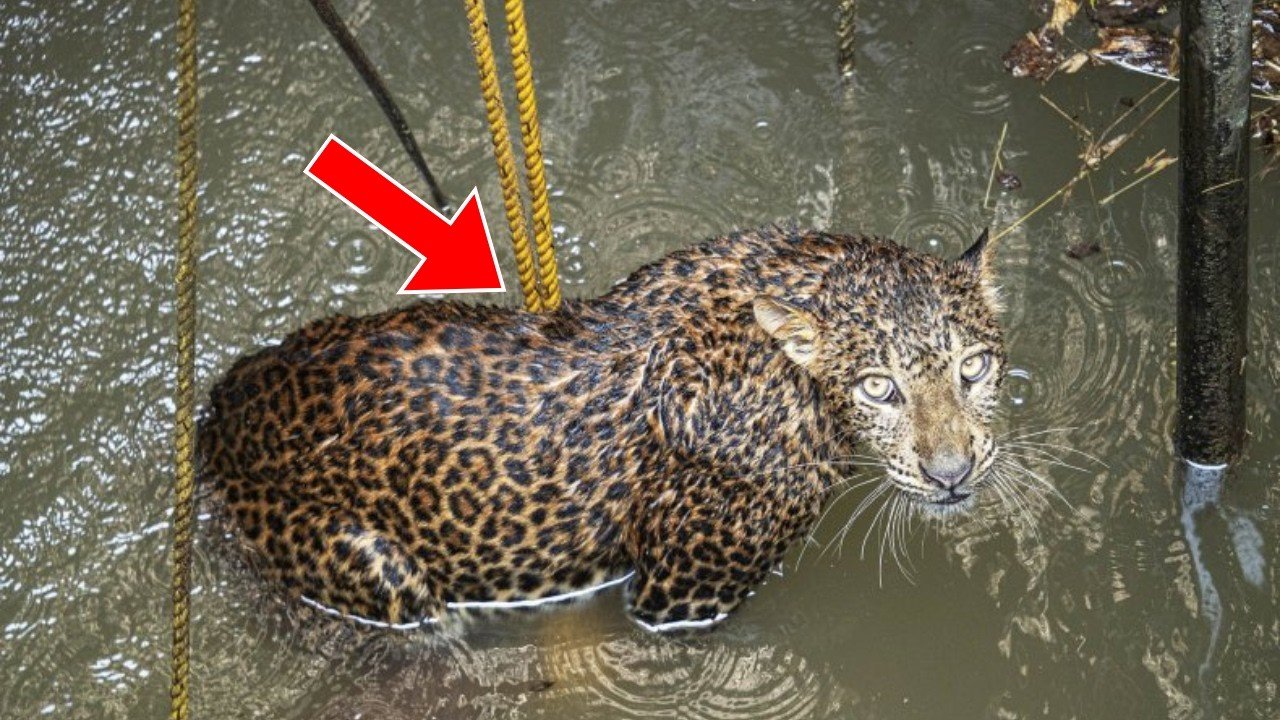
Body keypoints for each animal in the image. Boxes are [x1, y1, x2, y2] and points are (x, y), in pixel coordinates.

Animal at [198, 225, 1006, 632]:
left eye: (975, 367)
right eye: (878, 386)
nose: (953, 474)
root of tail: (224, 407)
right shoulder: (678, 597)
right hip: (368, 562)